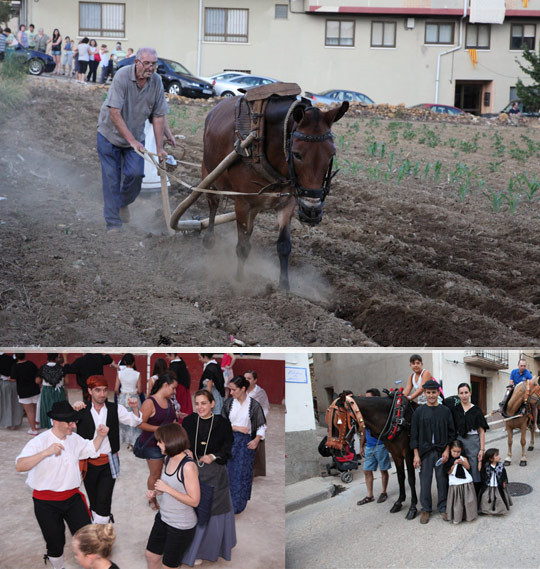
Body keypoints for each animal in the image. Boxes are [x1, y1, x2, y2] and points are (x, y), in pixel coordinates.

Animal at [200, 86, 348, 290]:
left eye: (331, 153)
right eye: (297, 154)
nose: (311, 211)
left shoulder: (288, 203)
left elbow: (284, 246)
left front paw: (284, 288)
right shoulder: (242, 203)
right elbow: (242, 246)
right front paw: (239, 281)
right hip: (209, 174)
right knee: (213, 205)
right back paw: (209, 239)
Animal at [332, 390, 420, 520]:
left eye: (339, 419)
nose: (333, 449)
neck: (396, 418)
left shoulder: (409, 454)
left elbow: (411, 479)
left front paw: (413, 507)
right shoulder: (396, 454)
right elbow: (400, 477)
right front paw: (399, 502)